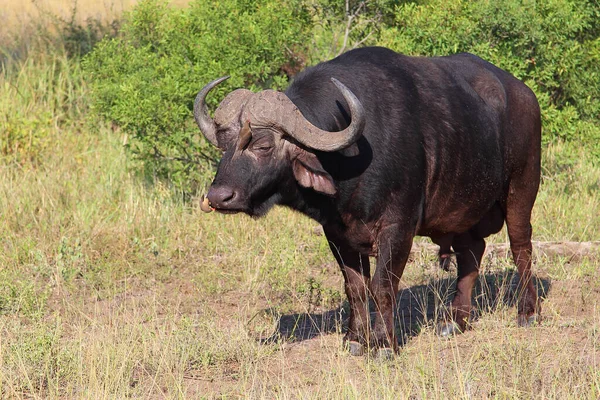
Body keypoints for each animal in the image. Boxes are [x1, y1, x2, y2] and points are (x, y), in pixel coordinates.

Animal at [195, 46, 540, 356]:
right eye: (224, 145)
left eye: (263, 145)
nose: (218, 197)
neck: (349, 166)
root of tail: (524, 93)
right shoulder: (337, 233)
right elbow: (356, 288)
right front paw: (355, 339)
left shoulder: (398, 228)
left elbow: (383, 286)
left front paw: (384, 343)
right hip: (463, 211)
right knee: (471, 252)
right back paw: (455, 321)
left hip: (521, 191)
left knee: (521, 248)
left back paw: (527, 312)